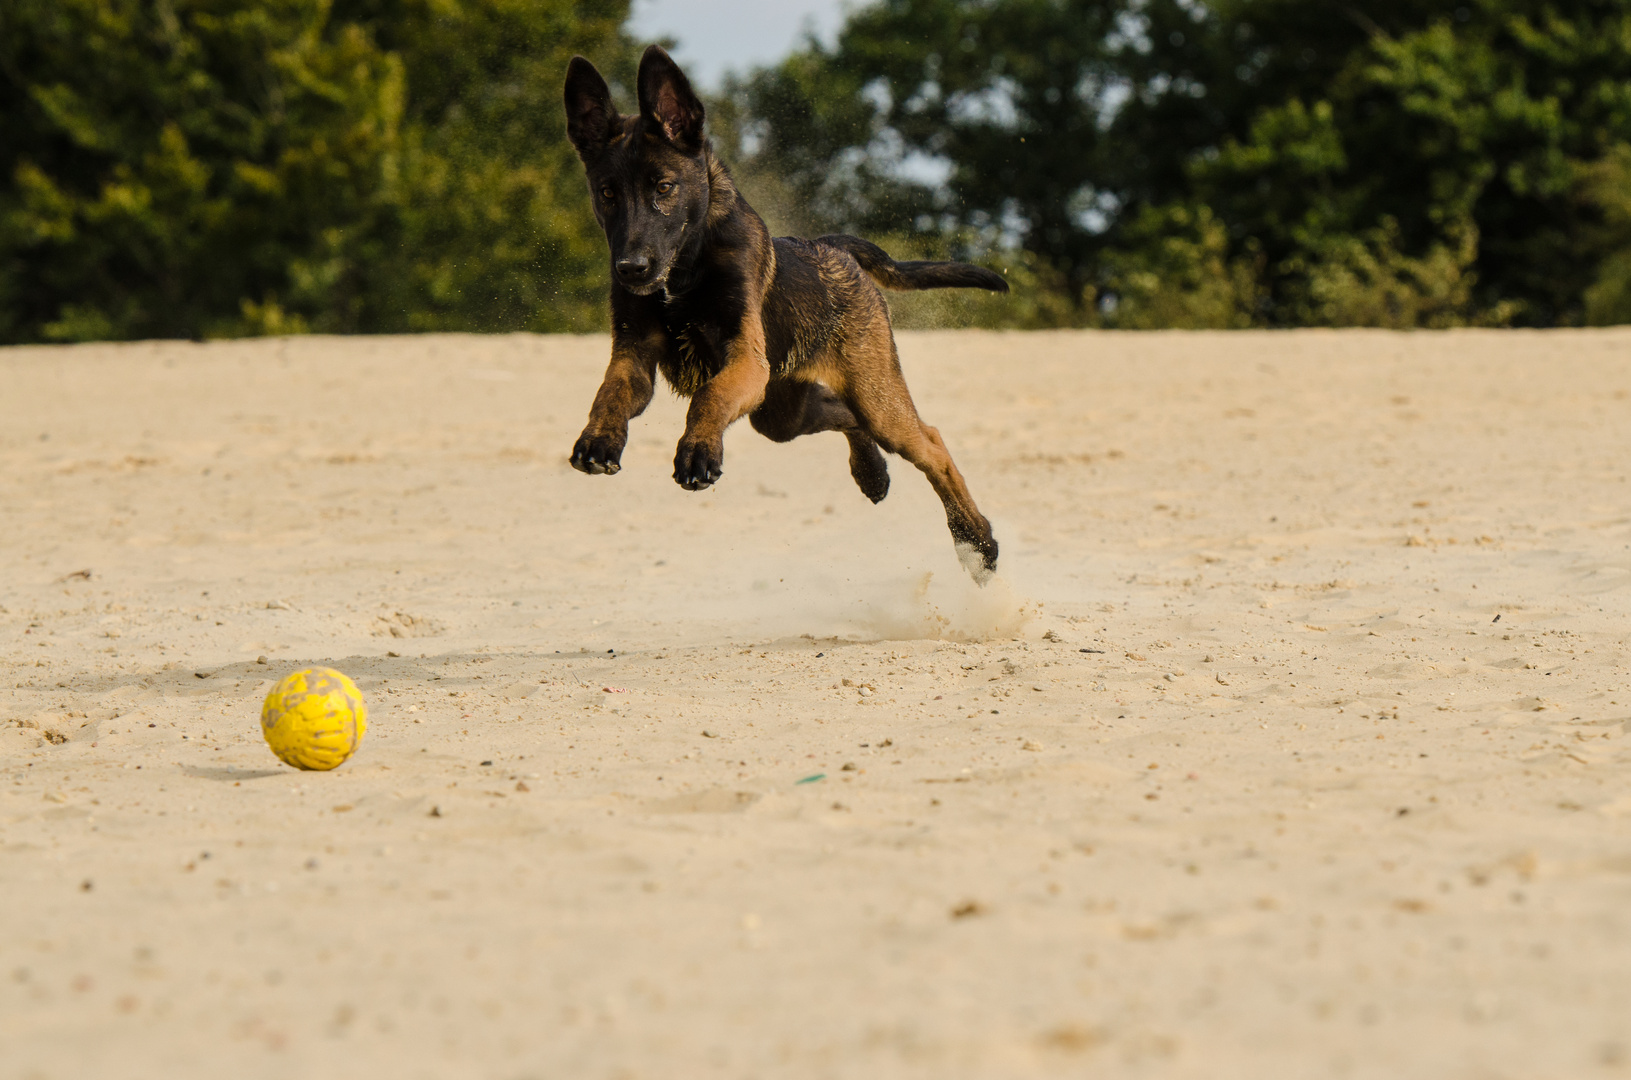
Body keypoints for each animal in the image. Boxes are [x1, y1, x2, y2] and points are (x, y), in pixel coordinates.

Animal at [567, 44, 1011, 584]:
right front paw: (599, 440)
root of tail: (832, 247)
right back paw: (872, 473)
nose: (631, 269)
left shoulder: (745, 360)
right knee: (844, 413)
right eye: (607, 193)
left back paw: (979, 543)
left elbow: (710, 397)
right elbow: (609, 394)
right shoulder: (633, 355)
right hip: (781, 411)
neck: (684, 272)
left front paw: (698, 449)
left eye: (665, 187)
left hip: (870, 397)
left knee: (931, 445)